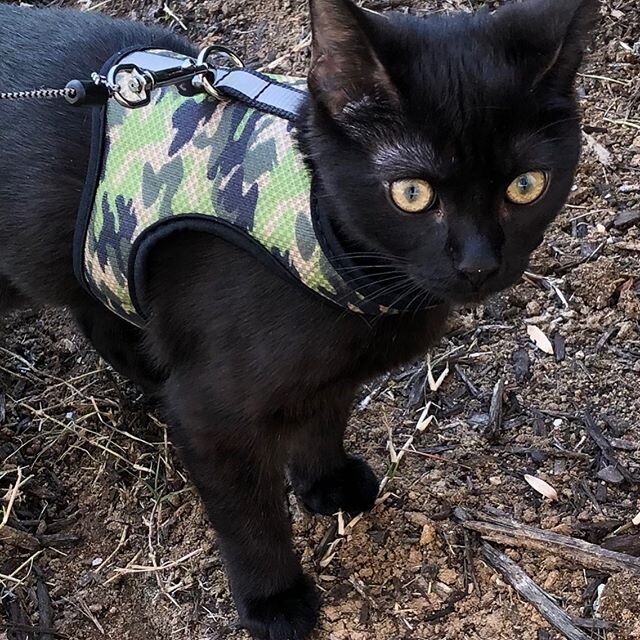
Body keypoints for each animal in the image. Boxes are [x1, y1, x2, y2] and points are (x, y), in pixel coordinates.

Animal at [0, 0, 596, 636]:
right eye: (410, 193)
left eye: (526, 185)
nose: (479, 264)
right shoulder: (214, 413)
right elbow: (251, 516)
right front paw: (274, 599)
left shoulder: (334, 373)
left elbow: (323, 418)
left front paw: (326, 483)